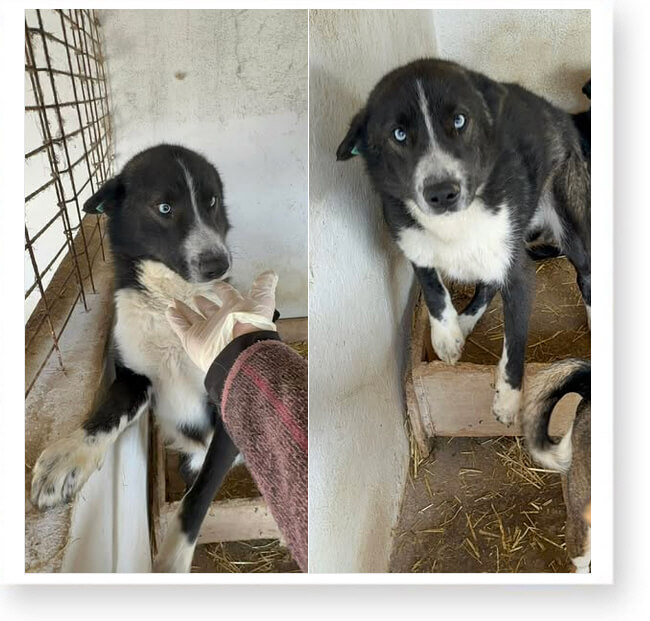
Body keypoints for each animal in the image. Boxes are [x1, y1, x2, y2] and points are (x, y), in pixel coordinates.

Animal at [30, 144, 238, 572]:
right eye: (164, 207)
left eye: (211, 201)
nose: (219, 264)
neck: (173, 305)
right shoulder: (133, 378)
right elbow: (106, 413)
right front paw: (67, 457)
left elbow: (199, 495)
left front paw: (174, 556)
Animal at [337, 59, 591, 425]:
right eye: (399, 134)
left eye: (459, 120)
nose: (442, 192)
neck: (453, 224)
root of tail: (557, 112)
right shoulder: (412, 242)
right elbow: (433, 288)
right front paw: (447, 335)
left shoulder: (518, 271)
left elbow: (515, 339)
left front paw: (508, 398)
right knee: (487, 284)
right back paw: (466, 320)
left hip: (570, 225)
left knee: (584, 274)